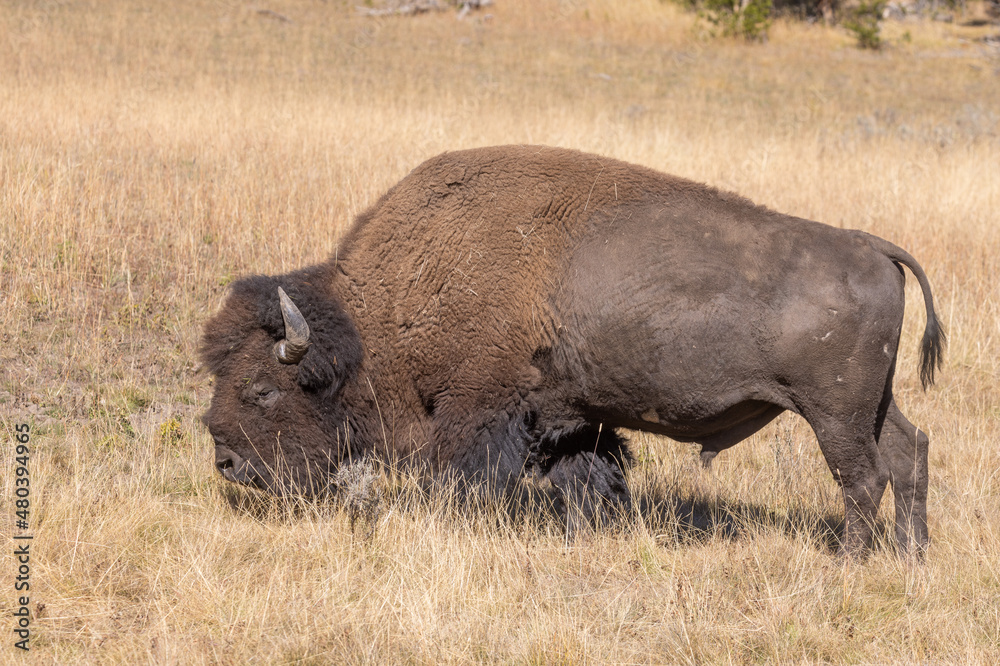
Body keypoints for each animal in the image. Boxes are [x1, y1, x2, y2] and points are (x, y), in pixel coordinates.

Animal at [199, 145, 940, 556]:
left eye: (261, 390)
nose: (227, 463)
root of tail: (875, 247)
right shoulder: (570, 415)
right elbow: (585, 478)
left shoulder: (479, 409)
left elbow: (461, 478)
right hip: (874, 404)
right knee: (910, 452)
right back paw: (912, 557)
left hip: (832, 413)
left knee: (863, 478)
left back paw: (850, 563)